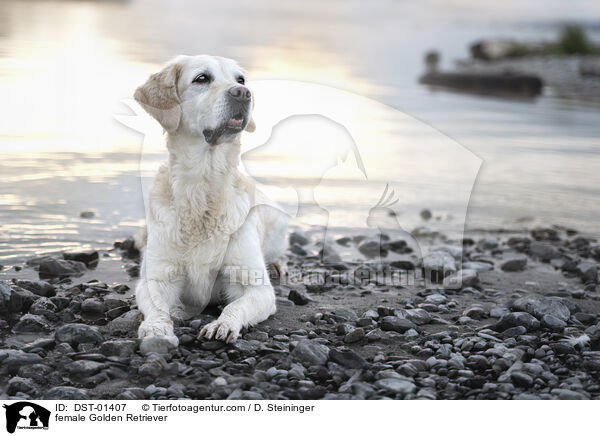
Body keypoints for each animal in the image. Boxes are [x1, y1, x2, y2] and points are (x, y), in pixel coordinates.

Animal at [134, 54, 288, 354]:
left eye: (240, 79)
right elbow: (157, 307)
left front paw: (222, 325)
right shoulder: (156, 278)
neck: (203, 187)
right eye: (201, 78)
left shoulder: (256, 285)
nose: (243, 93)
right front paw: (158, 328)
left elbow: (236, 305)